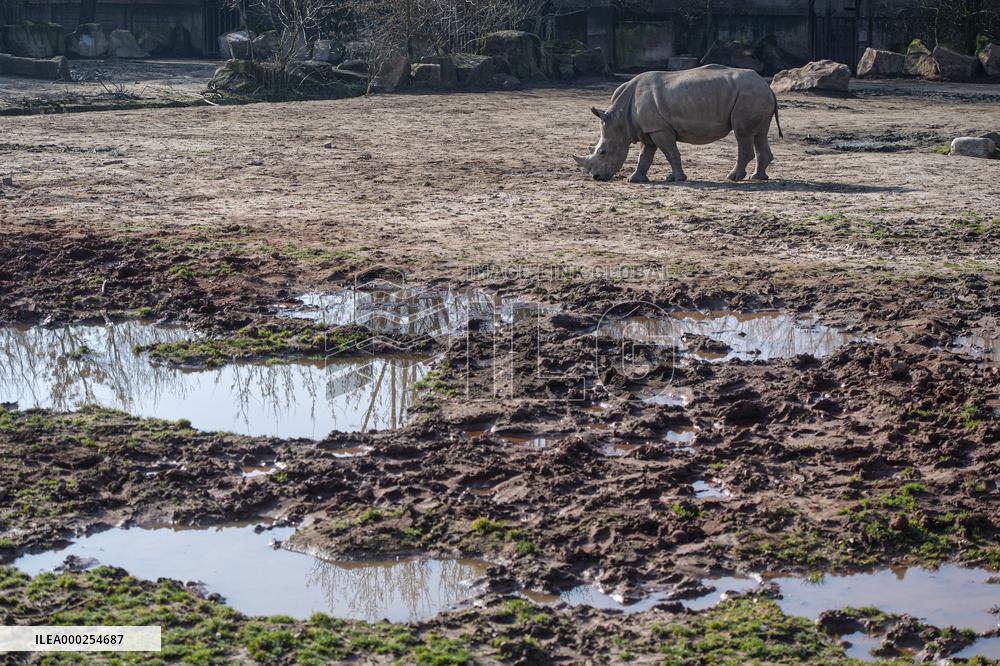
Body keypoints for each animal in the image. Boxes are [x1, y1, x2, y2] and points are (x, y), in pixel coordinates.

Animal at [574, 65, 783, 183]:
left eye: (603, 152)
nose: (596, 178)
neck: (619, 119)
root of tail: (768, 87)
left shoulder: (659, 129)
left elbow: (671, 153)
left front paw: (677, 179)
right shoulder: (648, 130)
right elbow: (645, 156)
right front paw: (635, 180)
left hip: (749, 95)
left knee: (742, 134)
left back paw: (733, 178)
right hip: (755, 94)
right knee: (759, 134)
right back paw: (758, 177)